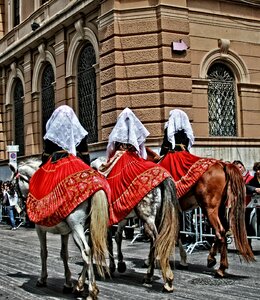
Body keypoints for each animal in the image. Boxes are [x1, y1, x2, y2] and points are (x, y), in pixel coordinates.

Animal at [9, 158, 109, 298]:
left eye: (12, 187)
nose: (19, 207)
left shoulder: (39, 229)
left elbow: (43, 253)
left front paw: (42, 279)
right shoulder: (65, 232)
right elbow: (64, 254)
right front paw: (68, 283)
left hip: (77, 228)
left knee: (86, 251)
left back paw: (91, 290)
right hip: (89, 229)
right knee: (91, 251)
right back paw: (80, 285)